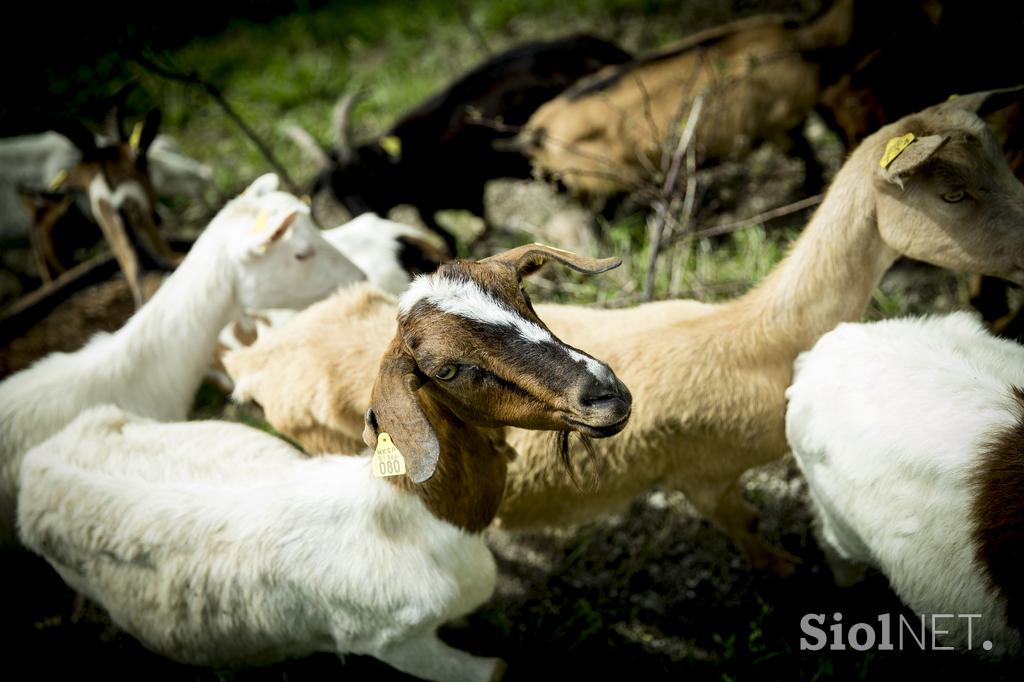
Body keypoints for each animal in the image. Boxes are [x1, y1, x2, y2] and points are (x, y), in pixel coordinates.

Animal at [16, 244, 626, 679]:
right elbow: (496, 668)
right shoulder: (402, 646)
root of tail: (40, 458)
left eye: (525, 299)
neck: (415, 517)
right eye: (447, 369)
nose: (604, 393)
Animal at [228, 86, 1024, 573]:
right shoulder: (704, 479)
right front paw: (786, 567)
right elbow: (747, 533)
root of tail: (259, 359)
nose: (606, 395)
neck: (756, 336)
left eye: (528, 297)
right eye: (952, 193)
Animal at [307, 33, 626, 250]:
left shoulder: (470, 189)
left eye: (368, 176)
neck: (409, 155)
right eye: (337, 196)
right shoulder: (434, 201)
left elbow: (480, 221)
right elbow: (438, 227)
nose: (362, 216)